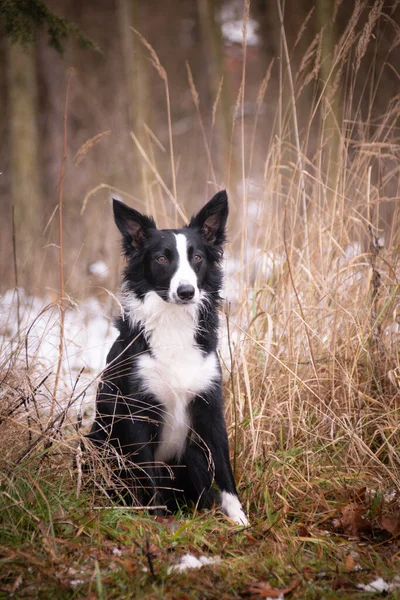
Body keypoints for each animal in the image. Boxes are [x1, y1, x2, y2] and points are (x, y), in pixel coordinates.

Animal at [88, 192, 247, 524]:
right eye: (161, 259)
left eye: (197, 258)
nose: (186, 292)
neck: (173, 321)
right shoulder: (137, 411)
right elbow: (147, 474)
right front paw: (157, 519)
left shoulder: (210, 404)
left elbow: (224, 467)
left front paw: (239, 517)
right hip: (98, 442)